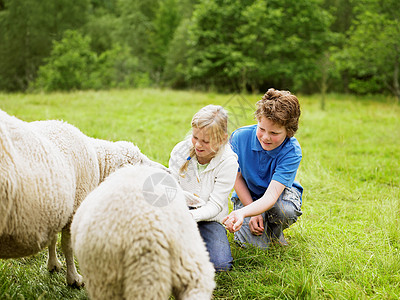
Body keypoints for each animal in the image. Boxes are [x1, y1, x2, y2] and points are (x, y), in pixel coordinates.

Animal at [0, 109, 166, 288]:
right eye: (139, 161)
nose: (166, 170)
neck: (99, 166)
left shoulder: (56, 207)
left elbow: (53, 239)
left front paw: (53, 265)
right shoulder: (74, 208)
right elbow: (68, 246)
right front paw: (73, 279)